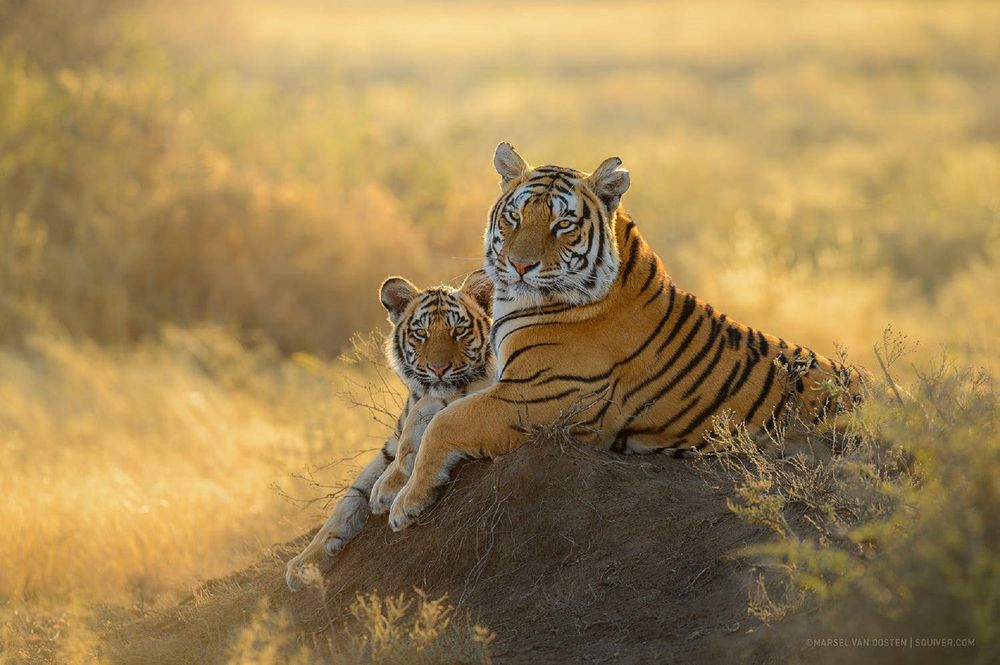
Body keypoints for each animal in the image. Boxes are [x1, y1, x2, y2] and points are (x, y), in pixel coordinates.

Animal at [286, 268, 492, 588]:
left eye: (459, 331)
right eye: (422, 333)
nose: (439, 369)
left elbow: (424, 421)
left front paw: (388, 487)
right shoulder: (387, 449)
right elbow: (349, 500)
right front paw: (305, 563)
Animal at [384, 141, 868, 528]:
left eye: (562, 225)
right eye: (515, 217)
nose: (520, 266)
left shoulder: (539, 396)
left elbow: (447, 422)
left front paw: (406, 504)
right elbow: (428, 411)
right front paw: (388, 485)